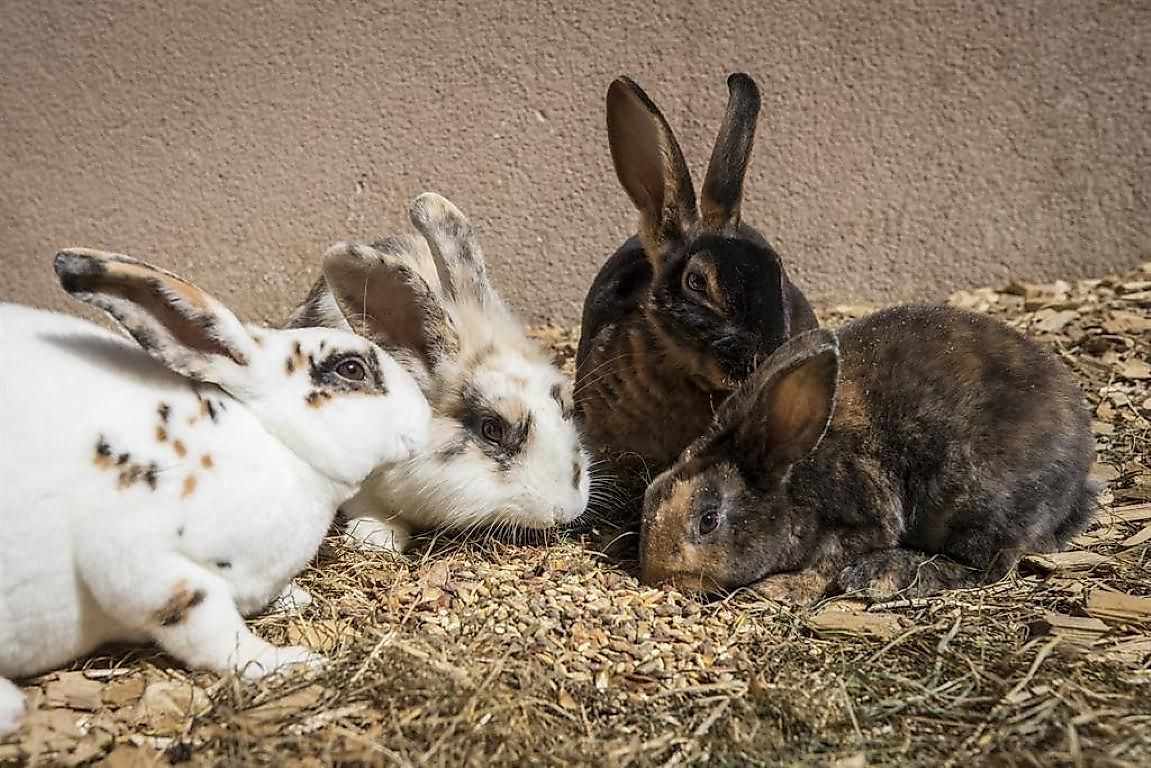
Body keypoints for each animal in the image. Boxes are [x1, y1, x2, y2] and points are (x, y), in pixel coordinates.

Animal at [0, 249, 431, 735]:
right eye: (351, 369)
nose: (425, 420)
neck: (276, 445)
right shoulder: (144, 564)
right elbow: (213, 631)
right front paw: (290, 661)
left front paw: (296, 599)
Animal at [640, 304, 1098, 603]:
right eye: (651, 492)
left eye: (708, 521)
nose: (657, 576)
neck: (790, 479)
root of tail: (1078, 473)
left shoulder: (858, 523)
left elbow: (824, 567)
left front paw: (775, 589)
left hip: (972, 502)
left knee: (985, 564)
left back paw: (879, 576)